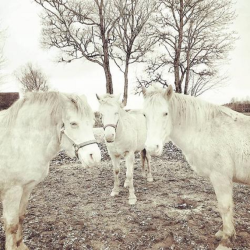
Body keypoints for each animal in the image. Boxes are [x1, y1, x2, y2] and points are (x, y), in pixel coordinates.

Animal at [0, 92, 101, 250]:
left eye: (92, 123)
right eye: (73, 123)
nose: (94, 157)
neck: (18, 141)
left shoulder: (26, 188)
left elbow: (21, 216)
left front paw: (20, 244)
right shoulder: (12, 192)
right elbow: (12, 226)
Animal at [143, 83, 250, 248]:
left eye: (165, 113)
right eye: (144, 115)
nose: (151, 148)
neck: (209, 130)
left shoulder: (221, 178)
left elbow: (224, 206)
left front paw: (226, 240)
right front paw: (224, 233)